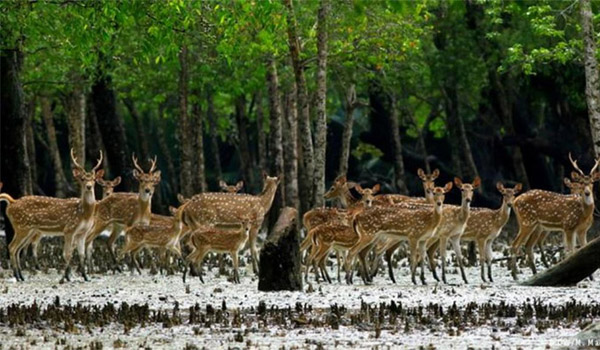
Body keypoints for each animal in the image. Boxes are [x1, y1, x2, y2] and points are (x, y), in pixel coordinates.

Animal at [0, 150, 102, 282]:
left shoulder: (82, 232)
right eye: (83, 178)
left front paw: (85, 277)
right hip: (22, 227)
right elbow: (67, 253)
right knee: (12, 247)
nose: (89, 186)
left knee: (17, 249)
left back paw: (21, 276)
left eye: (94, 179)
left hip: (28, 230)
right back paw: (17, 276)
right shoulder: (69, 229)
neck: (84, 214)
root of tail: (12, 202)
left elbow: (81, 254)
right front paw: (65, 278)